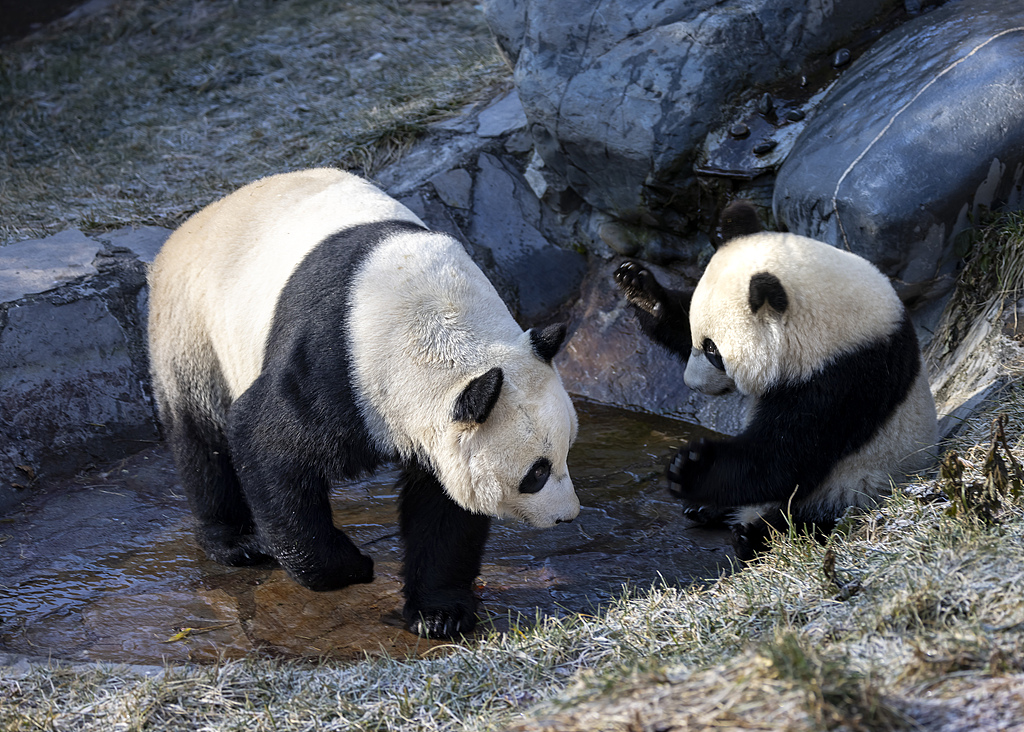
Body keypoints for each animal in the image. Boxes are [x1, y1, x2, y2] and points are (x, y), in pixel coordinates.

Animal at [148, 168, 581, 638]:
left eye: (566, 451)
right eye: (536, 473)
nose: (568, 517)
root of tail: (196, 219)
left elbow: (445, 507)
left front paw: (439, 612)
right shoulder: (335, 364)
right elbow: (264, 441)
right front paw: (351, 566)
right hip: (192, 326)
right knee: (200, 432)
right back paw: (236, 541)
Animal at [610, 201, 937, 561]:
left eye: (712, 350)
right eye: (701, 339)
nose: (691, 383)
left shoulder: (846, 378)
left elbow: (785, 457)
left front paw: (691, 467)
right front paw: (639, 288)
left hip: (860, 486)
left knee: (814, 517)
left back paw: (753, 534)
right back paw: (707, 509)